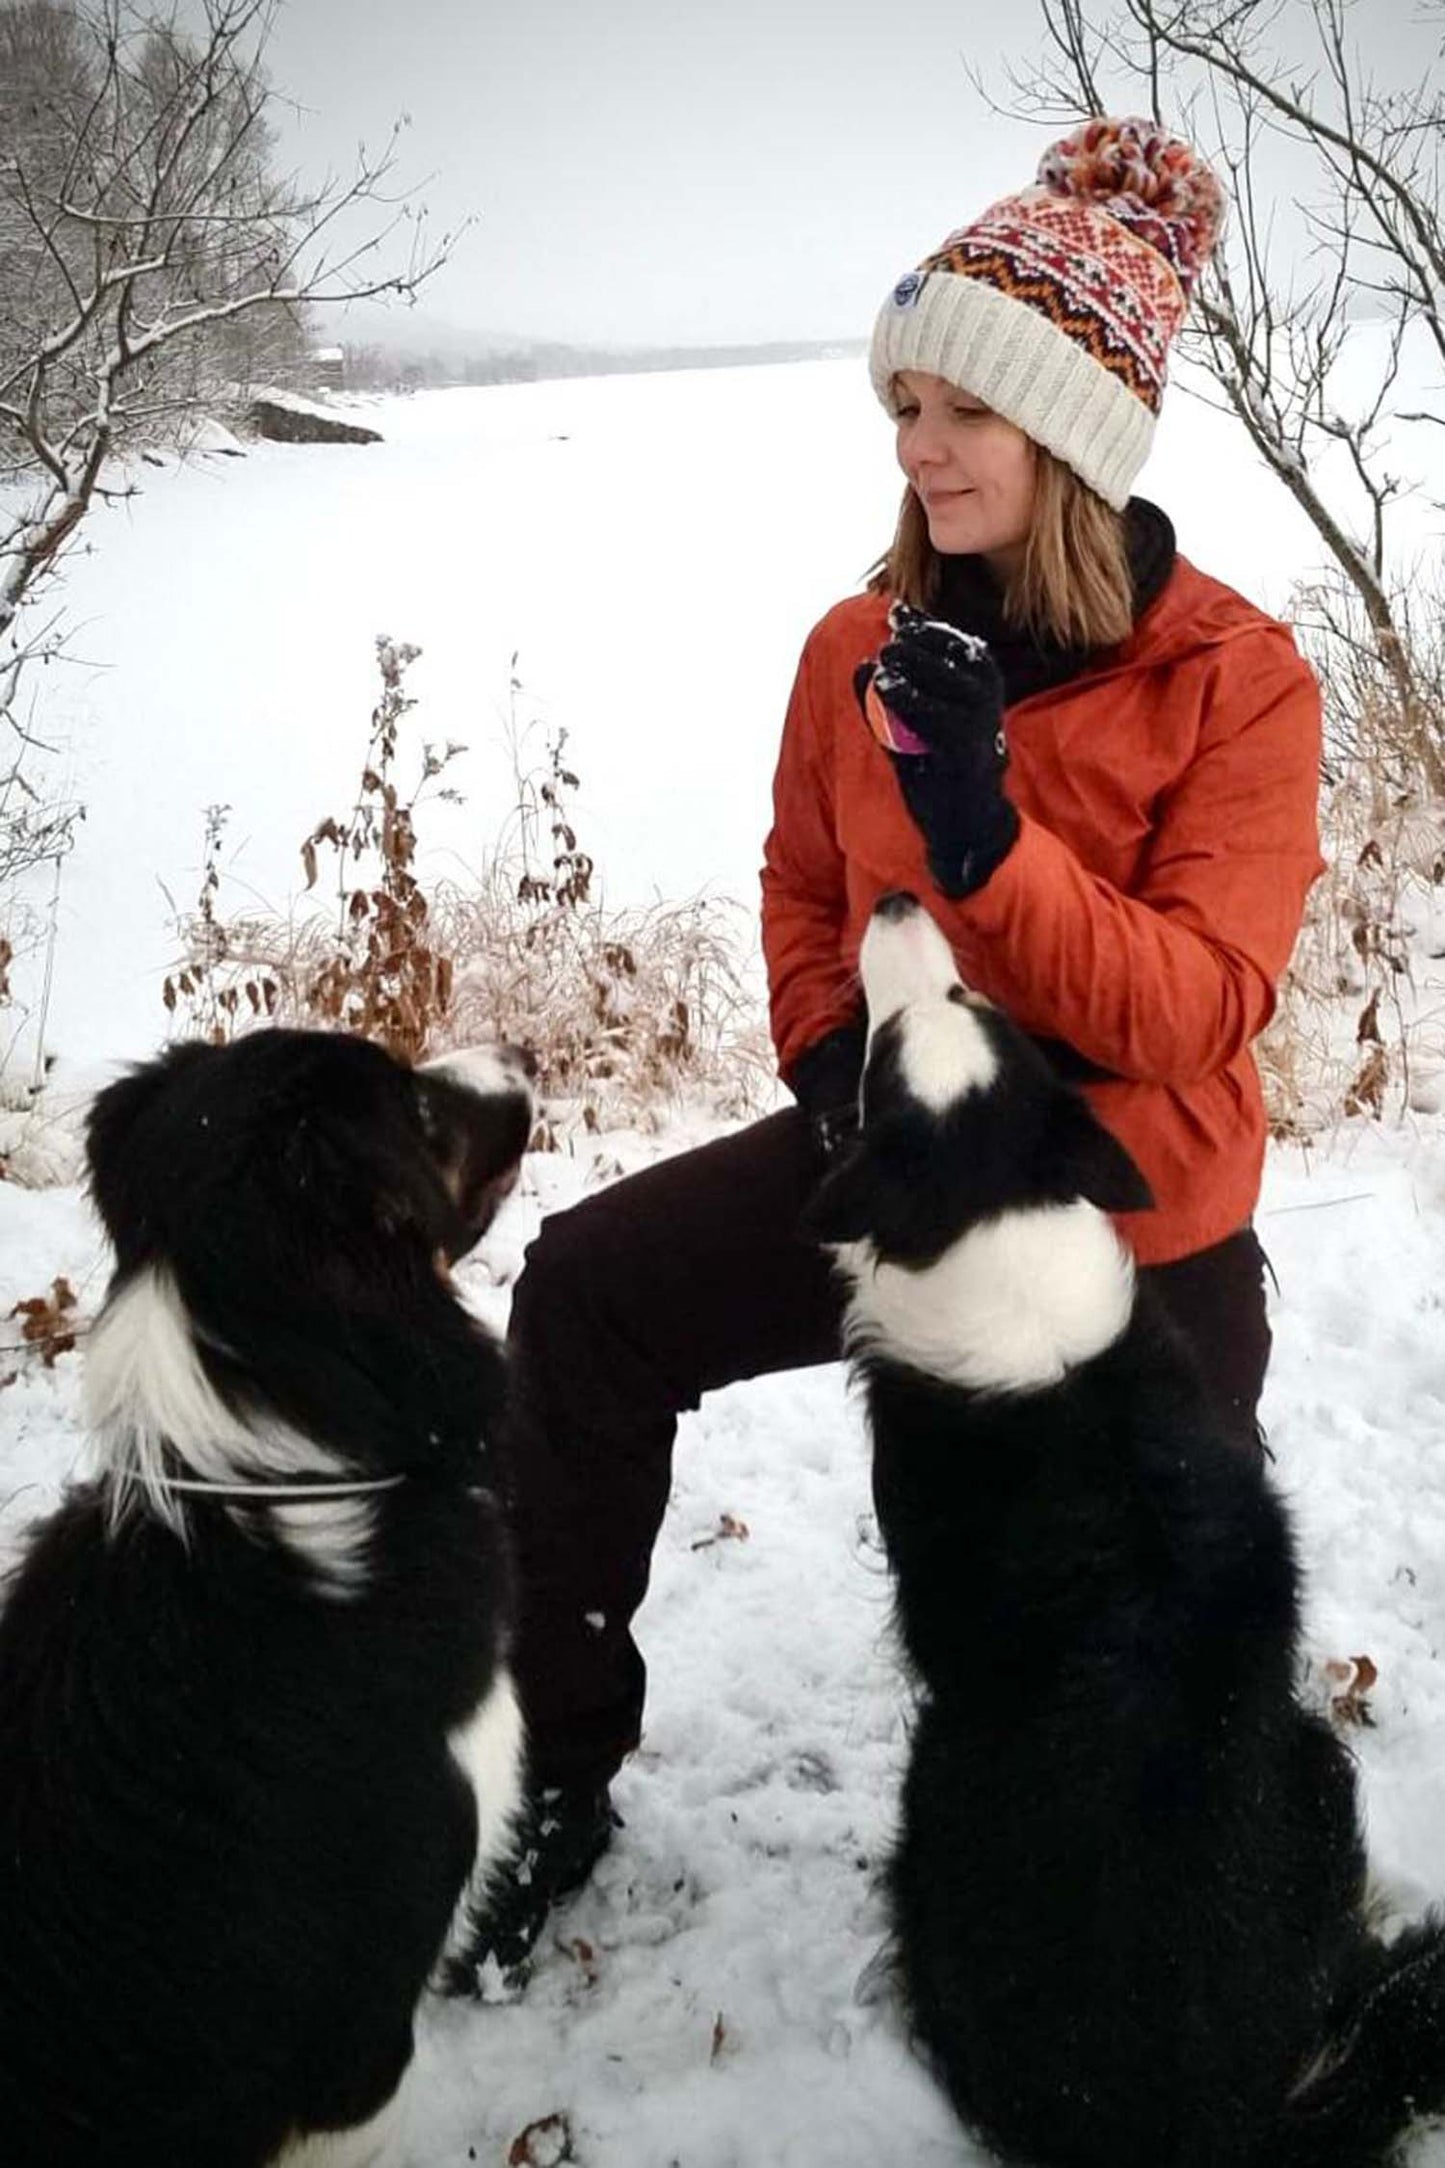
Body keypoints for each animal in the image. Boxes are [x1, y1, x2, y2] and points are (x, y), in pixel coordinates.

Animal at [810, 893, 1445, 2168]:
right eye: (968, 999)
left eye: (907, 1030)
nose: (898, 900)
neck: (992, 1219)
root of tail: (1217, 2123)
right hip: (1307, 1755)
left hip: (939, 1791)